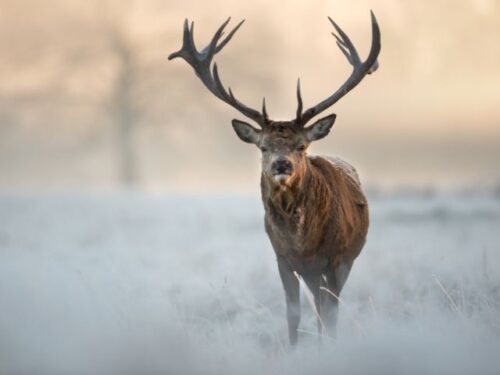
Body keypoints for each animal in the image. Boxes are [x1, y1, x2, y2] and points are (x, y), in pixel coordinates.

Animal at [170, 11, 380, 346]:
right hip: (311, 272)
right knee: (317, 305)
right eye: (264, 146)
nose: (282, 164)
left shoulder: (337, 258)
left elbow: (331, 315)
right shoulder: (282, 258)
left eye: (302, 146)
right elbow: (293, 313)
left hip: (346, 258)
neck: (303, 242)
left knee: (326, 308)